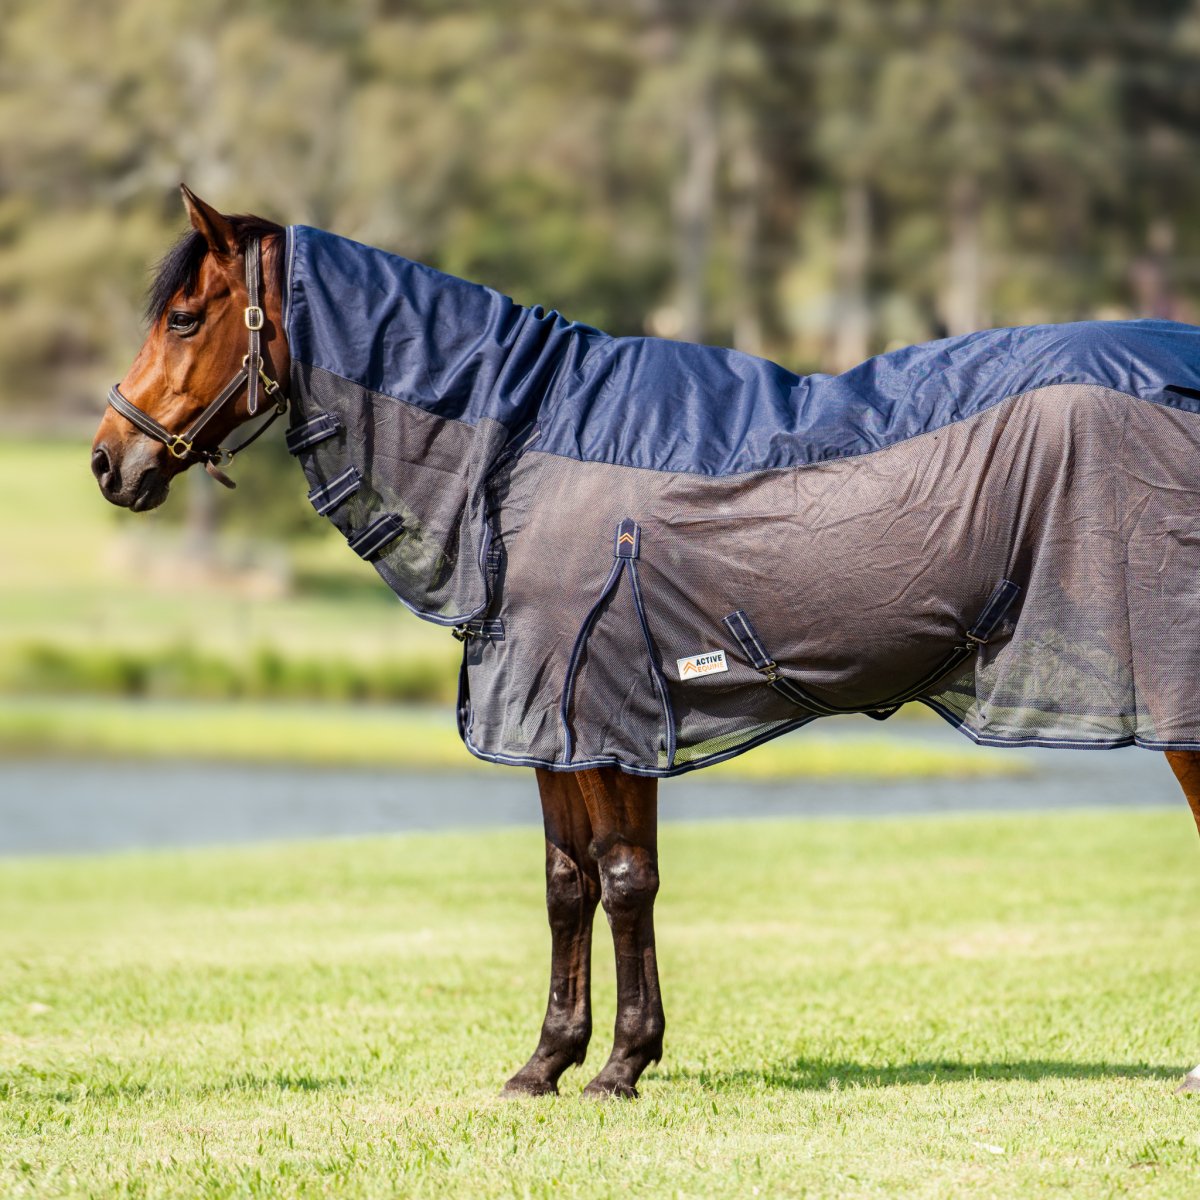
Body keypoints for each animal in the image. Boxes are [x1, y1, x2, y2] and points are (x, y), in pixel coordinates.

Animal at [93, 186, 1200, 1098]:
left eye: (184, 317)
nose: (109, 462)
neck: (516, 452)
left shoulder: (597, 709)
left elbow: (625, 882)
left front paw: (620, 1066)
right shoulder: (556, 724)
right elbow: (569, 884)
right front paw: (547, 1063)